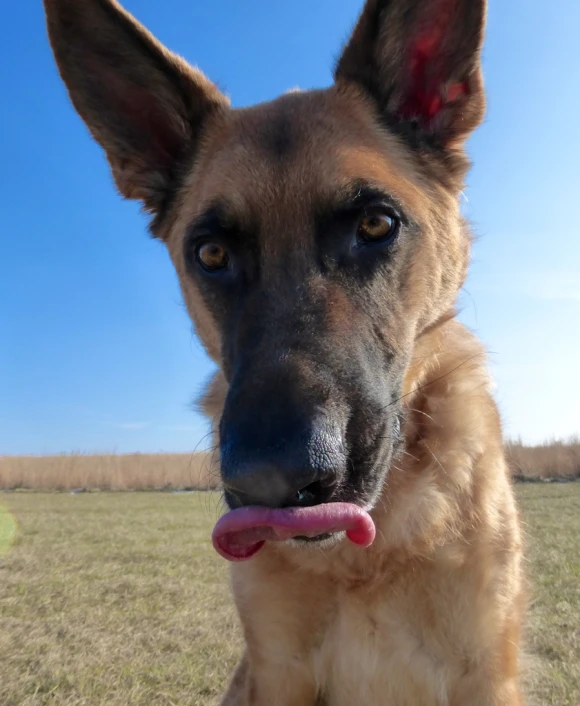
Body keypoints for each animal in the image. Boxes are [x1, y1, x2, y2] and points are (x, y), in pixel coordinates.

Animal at [44, 0, 524, 700]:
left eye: (376, 224)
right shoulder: (276, 671)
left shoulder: (483, 674)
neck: (364, 558)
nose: (271, 479)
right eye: (211, 253)